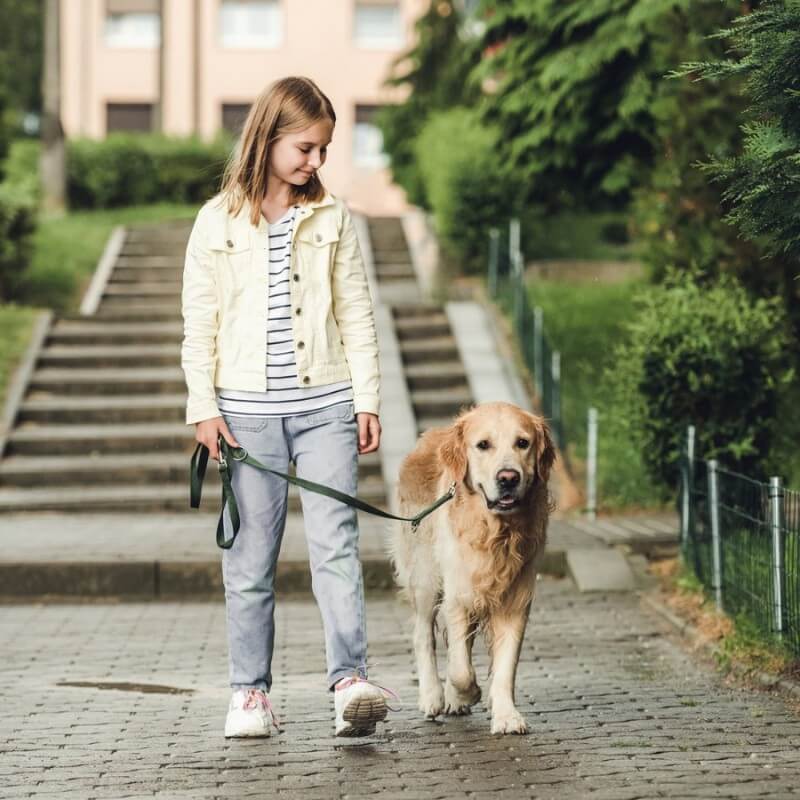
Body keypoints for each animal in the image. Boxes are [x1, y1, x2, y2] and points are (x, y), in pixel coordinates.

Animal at [390, 404, 552, 736]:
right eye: (483, 445)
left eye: (523, 443)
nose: (508, 478)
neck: (496, 532)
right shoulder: (457, 596)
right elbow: (461, 670)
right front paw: (469, 692)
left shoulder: (515, 599)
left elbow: (505, 665)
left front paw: (506, 714)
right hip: (426, 576)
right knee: (423, 635)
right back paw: (433, 696)